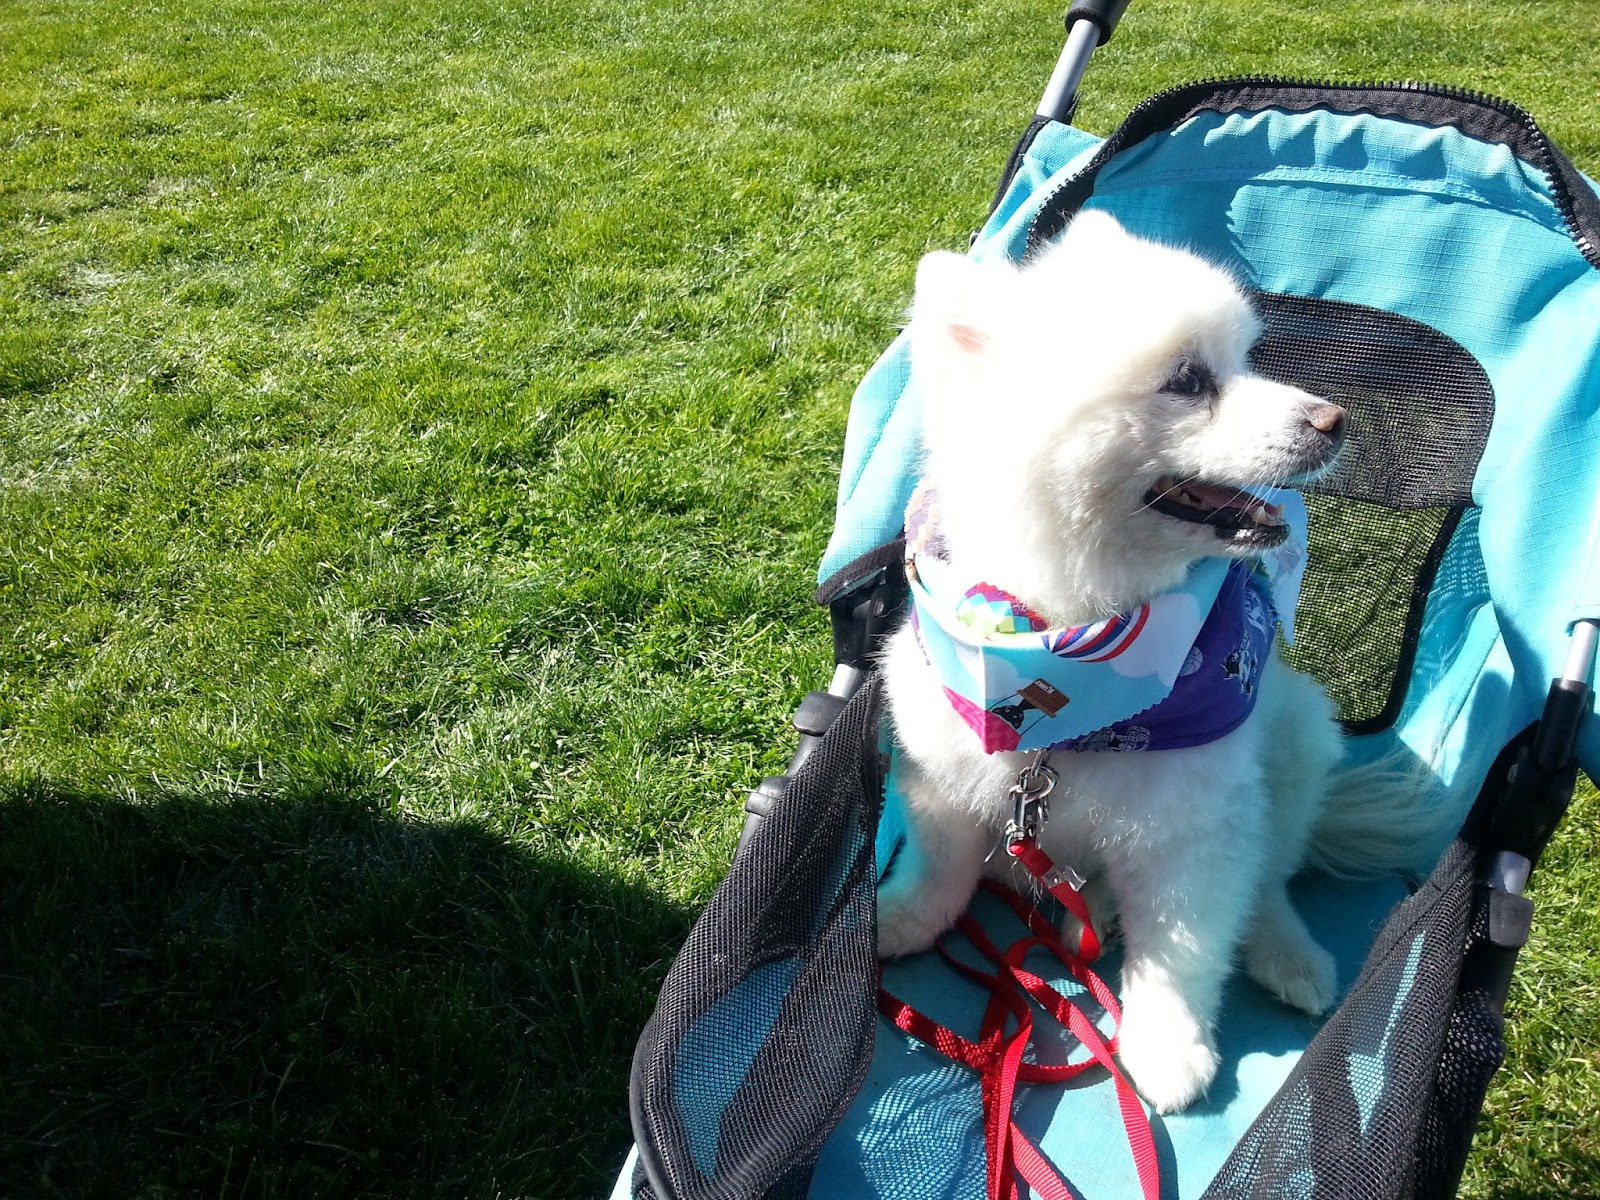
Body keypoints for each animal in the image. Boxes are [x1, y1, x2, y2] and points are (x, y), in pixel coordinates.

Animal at [875, 211, 1359, 1115]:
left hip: (1297, 744)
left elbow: (1184, 948)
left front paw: (1167, 1048)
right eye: (1189, 380)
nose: (1334, 419)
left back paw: (1287, 954)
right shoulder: (940, 763)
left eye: (1242, 359)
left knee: (1269, 880)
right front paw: (904, 916)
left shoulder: (1193, 829)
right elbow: (940, 863)